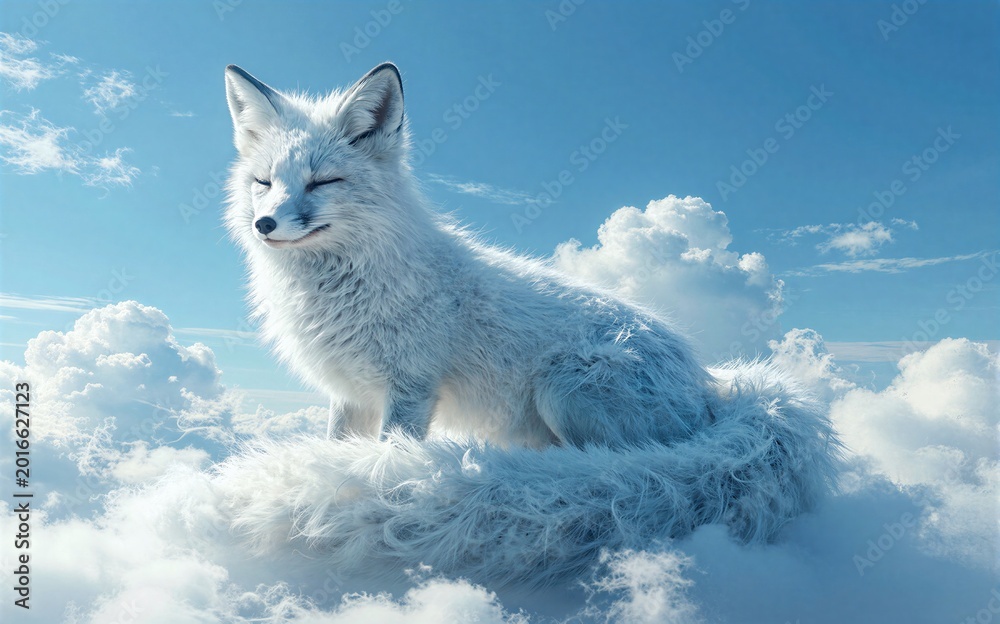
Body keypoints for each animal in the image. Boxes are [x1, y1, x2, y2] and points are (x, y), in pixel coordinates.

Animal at [223, 62, 717, 449]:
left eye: (323, 182)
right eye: (264, 182)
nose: (264, 224)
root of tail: (706, 391)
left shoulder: (411, 387)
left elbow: (388, 455)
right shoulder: (350, 393)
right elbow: (335, 448)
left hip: (561, 390)